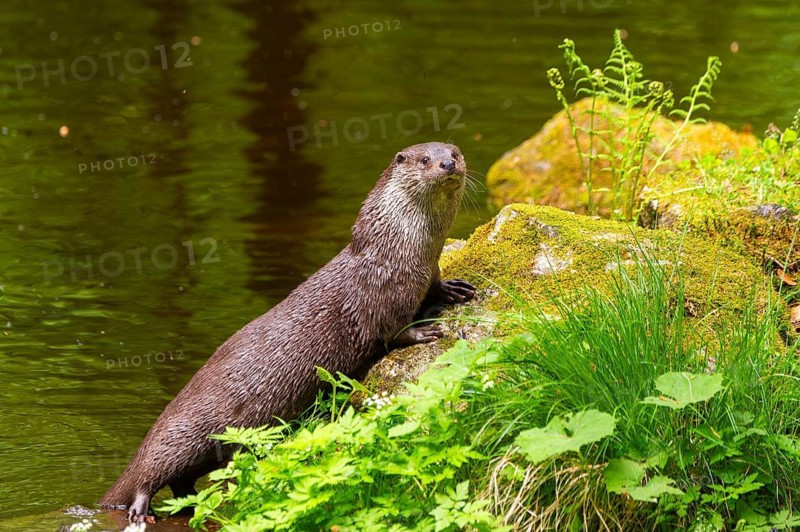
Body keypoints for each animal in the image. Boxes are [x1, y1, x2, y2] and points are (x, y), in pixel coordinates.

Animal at [99, 142, 475, 522]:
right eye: (425, 160)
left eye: (455, 153)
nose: (447, 164)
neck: (401, 253)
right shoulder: (380, 297)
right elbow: (392, 331)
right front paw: (426, 332)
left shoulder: (426, 272)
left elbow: (435, 286)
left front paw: (453, 289)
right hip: (181, 433)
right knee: (149, 472)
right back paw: (140, 508)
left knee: (181, 483)